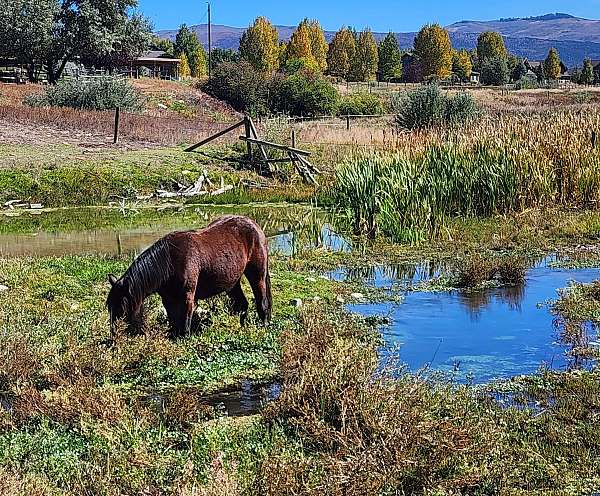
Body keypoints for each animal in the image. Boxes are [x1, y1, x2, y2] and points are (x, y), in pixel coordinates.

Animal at [106, 217, 274, 338]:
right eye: (110, 306)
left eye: (122, 307)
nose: (115, 334)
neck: (170, 261)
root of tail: (254, 225)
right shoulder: (168, 299)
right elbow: (173, 322)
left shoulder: (187, 296)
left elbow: (185, 322)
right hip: (232, 282)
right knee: (242, 305)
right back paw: (241, 327)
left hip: (257, 274)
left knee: (262, 301)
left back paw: (264, 325)